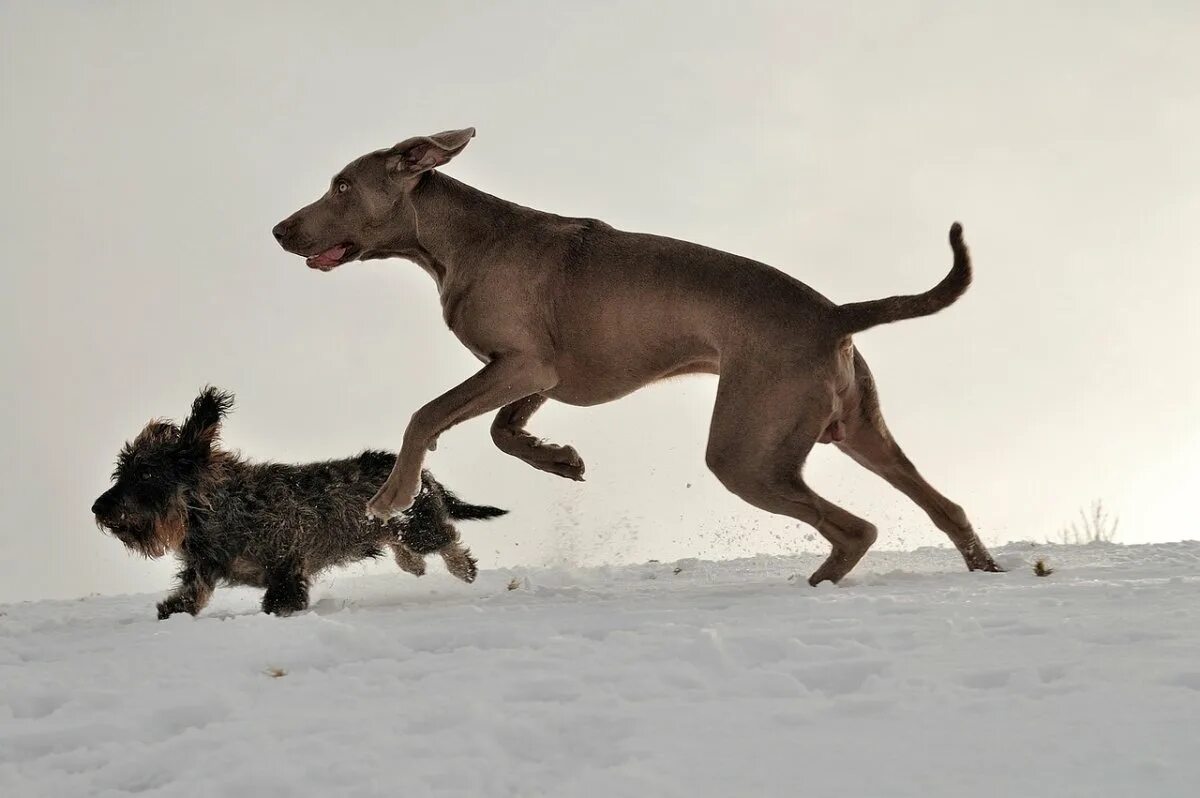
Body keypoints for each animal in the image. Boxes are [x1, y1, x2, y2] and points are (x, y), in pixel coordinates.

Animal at [92, 388, 506, 619]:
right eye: (122, 470)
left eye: (146, 473)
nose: (98, 509)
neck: (221, 506)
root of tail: (425, 478)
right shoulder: (202, 569)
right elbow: (190, 596)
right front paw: (171, 613)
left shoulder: (287, 567)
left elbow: (280, 600)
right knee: (409, 547)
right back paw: (414, 564)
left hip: (419, 527)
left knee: (447, 538)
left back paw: (462, 568)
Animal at [274, 127, 1003, 583]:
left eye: (342, 186)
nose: (279, 230)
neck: (456, 238)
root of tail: (834, 313)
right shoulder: (541, 372)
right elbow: (503, 430)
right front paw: (560, 459)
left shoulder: (523, 364)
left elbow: (427, 414)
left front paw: (391, 495)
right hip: (855, 429)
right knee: (946, 507)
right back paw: (985, 570)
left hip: (747, 451)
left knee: (856, 529)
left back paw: (821, 582)